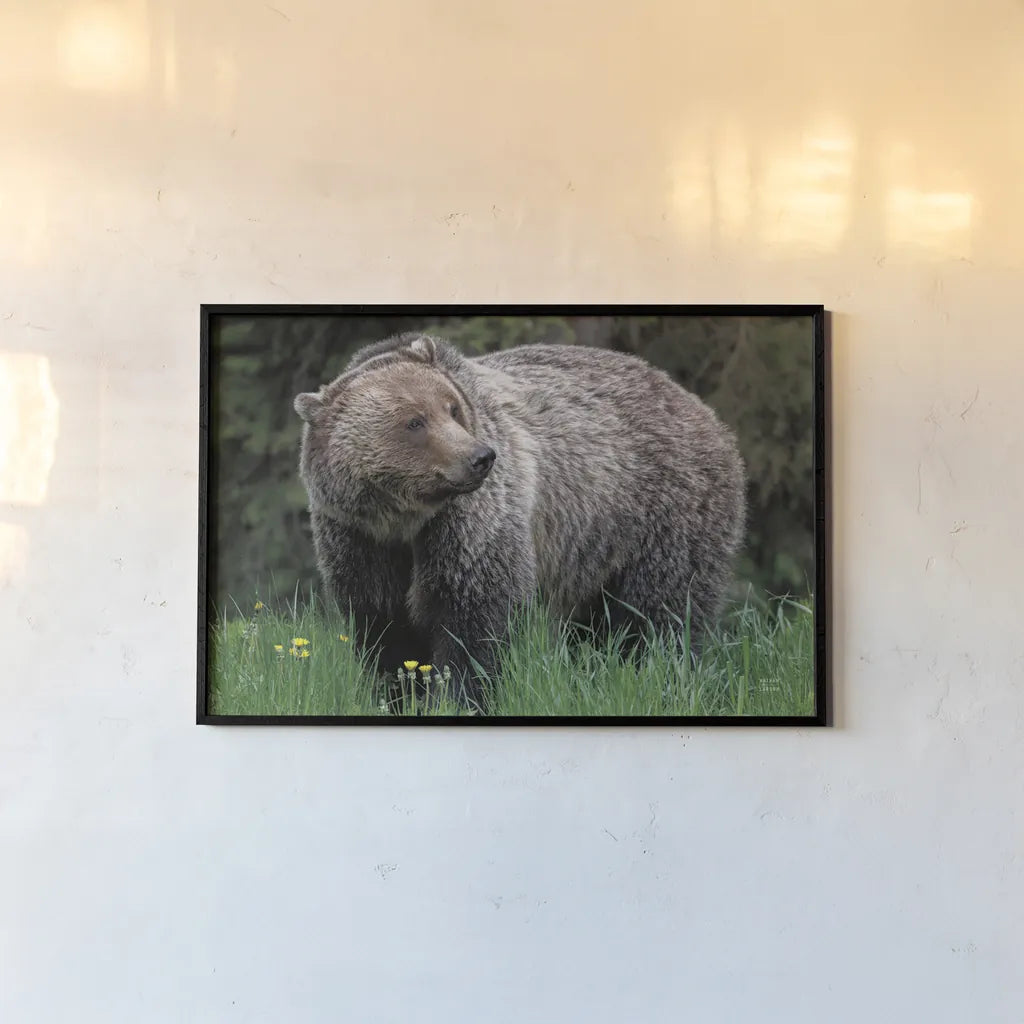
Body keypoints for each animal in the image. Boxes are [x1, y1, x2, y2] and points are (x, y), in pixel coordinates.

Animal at [293, 332, 746, 708]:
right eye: (414, 421)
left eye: (452, 408)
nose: (479, 457)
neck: (405, 518)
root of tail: (702, 409)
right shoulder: (357, 536)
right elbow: (382, 623)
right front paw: (398, 694)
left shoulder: (472, 524)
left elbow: (475, 613)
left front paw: (460, 697)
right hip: (595, 549)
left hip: (660, 511)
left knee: (660, 612)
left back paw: (661, 675)